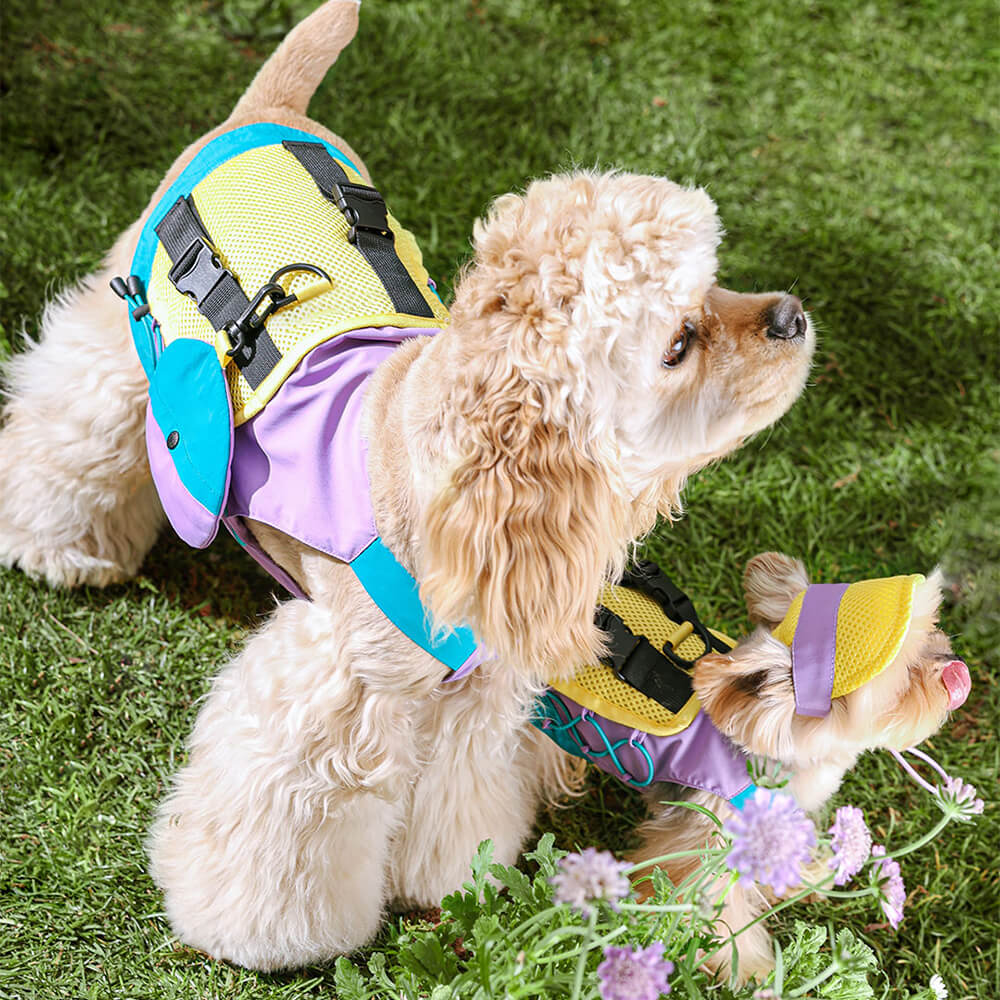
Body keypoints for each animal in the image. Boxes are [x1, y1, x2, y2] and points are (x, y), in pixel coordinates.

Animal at [0, 0, 812, 968]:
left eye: (715, 284)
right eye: (678, 343)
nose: (793, 314)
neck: (473, 497)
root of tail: (266, 113)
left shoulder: (478, 701)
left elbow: (456, 804)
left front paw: (445, 885)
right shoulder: (336, 691)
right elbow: (280, 832)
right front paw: (259, 935)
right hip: (130, 345)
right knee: (71, 423)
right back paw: (62, 551)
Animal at [628, 556, 972, 984]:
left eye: (932, 632)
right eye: (907, 676)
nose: (955, 665)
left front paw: (802, 879)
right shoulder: (704, 840)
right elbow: (706, 906)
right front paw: (746, 968)